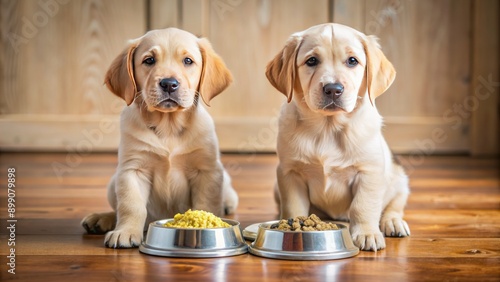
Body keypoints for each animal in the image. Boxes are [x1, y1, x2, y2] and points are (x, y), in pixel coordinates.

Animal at [81, 27, 238, 248]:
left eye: (188, 61)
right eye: (149, 60)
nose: (169, 84)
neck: (168, 126)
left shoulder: (206, 170)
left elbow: (205, 203)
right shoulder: (132, 170)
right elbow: (131, 206)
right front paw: (126, 231)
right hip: (114, 182)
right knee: (120, 209)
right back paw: (102, 219)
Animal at [266, 23, 410, 250]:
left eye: (352, 61)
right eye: (311, 61)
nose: (333, 89)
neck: (328, 128)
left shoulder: (369, 172)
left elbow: (363, 205)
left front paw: (367, 233)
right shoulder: (290, 172)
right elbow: (293, 206)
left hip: (399, 180)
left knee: (394, 205)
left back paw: (393, 223)